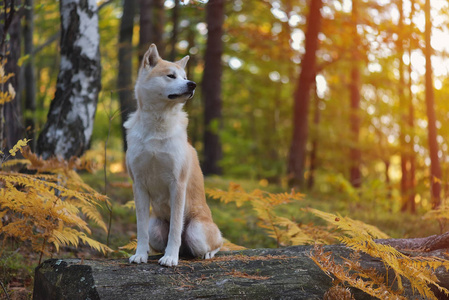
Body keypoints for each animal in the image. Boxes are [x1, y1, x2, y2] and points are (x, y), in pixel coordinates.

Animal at [124, 43, 222, 266]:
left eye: (185, 76)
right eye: (171, 76)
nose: (192, 84)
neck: (157, 125)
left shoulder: (177, 183)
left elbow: (176, 229)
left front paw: (170, 257)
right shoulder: (138, 185)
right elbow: (140, 229)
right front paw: (140, 254)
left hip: (196, 231)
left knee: (217, 243)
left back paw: (205, 253)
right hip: (155, 228)